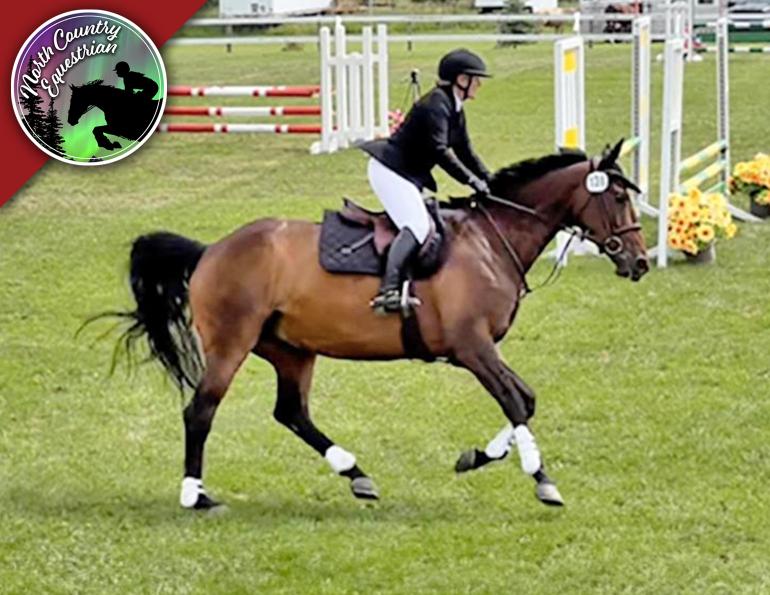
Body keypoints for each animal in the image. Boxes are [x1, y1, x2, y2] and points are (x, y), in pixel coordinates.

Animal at [106, 140, 649, 510]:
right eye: (618, 199)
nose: (640, 262)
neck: (492, 241)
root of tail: (210, 250)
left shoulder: (479, 351)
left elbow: (527, 401)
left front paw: (475, 456)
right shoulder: (473, 348)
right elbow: (516, 402)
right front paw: (543, 481)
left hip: (290, 349)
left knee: (291, 412)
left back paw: (355, 474)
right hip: (231, 345)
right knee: (201, 411)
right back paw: (195, 496)